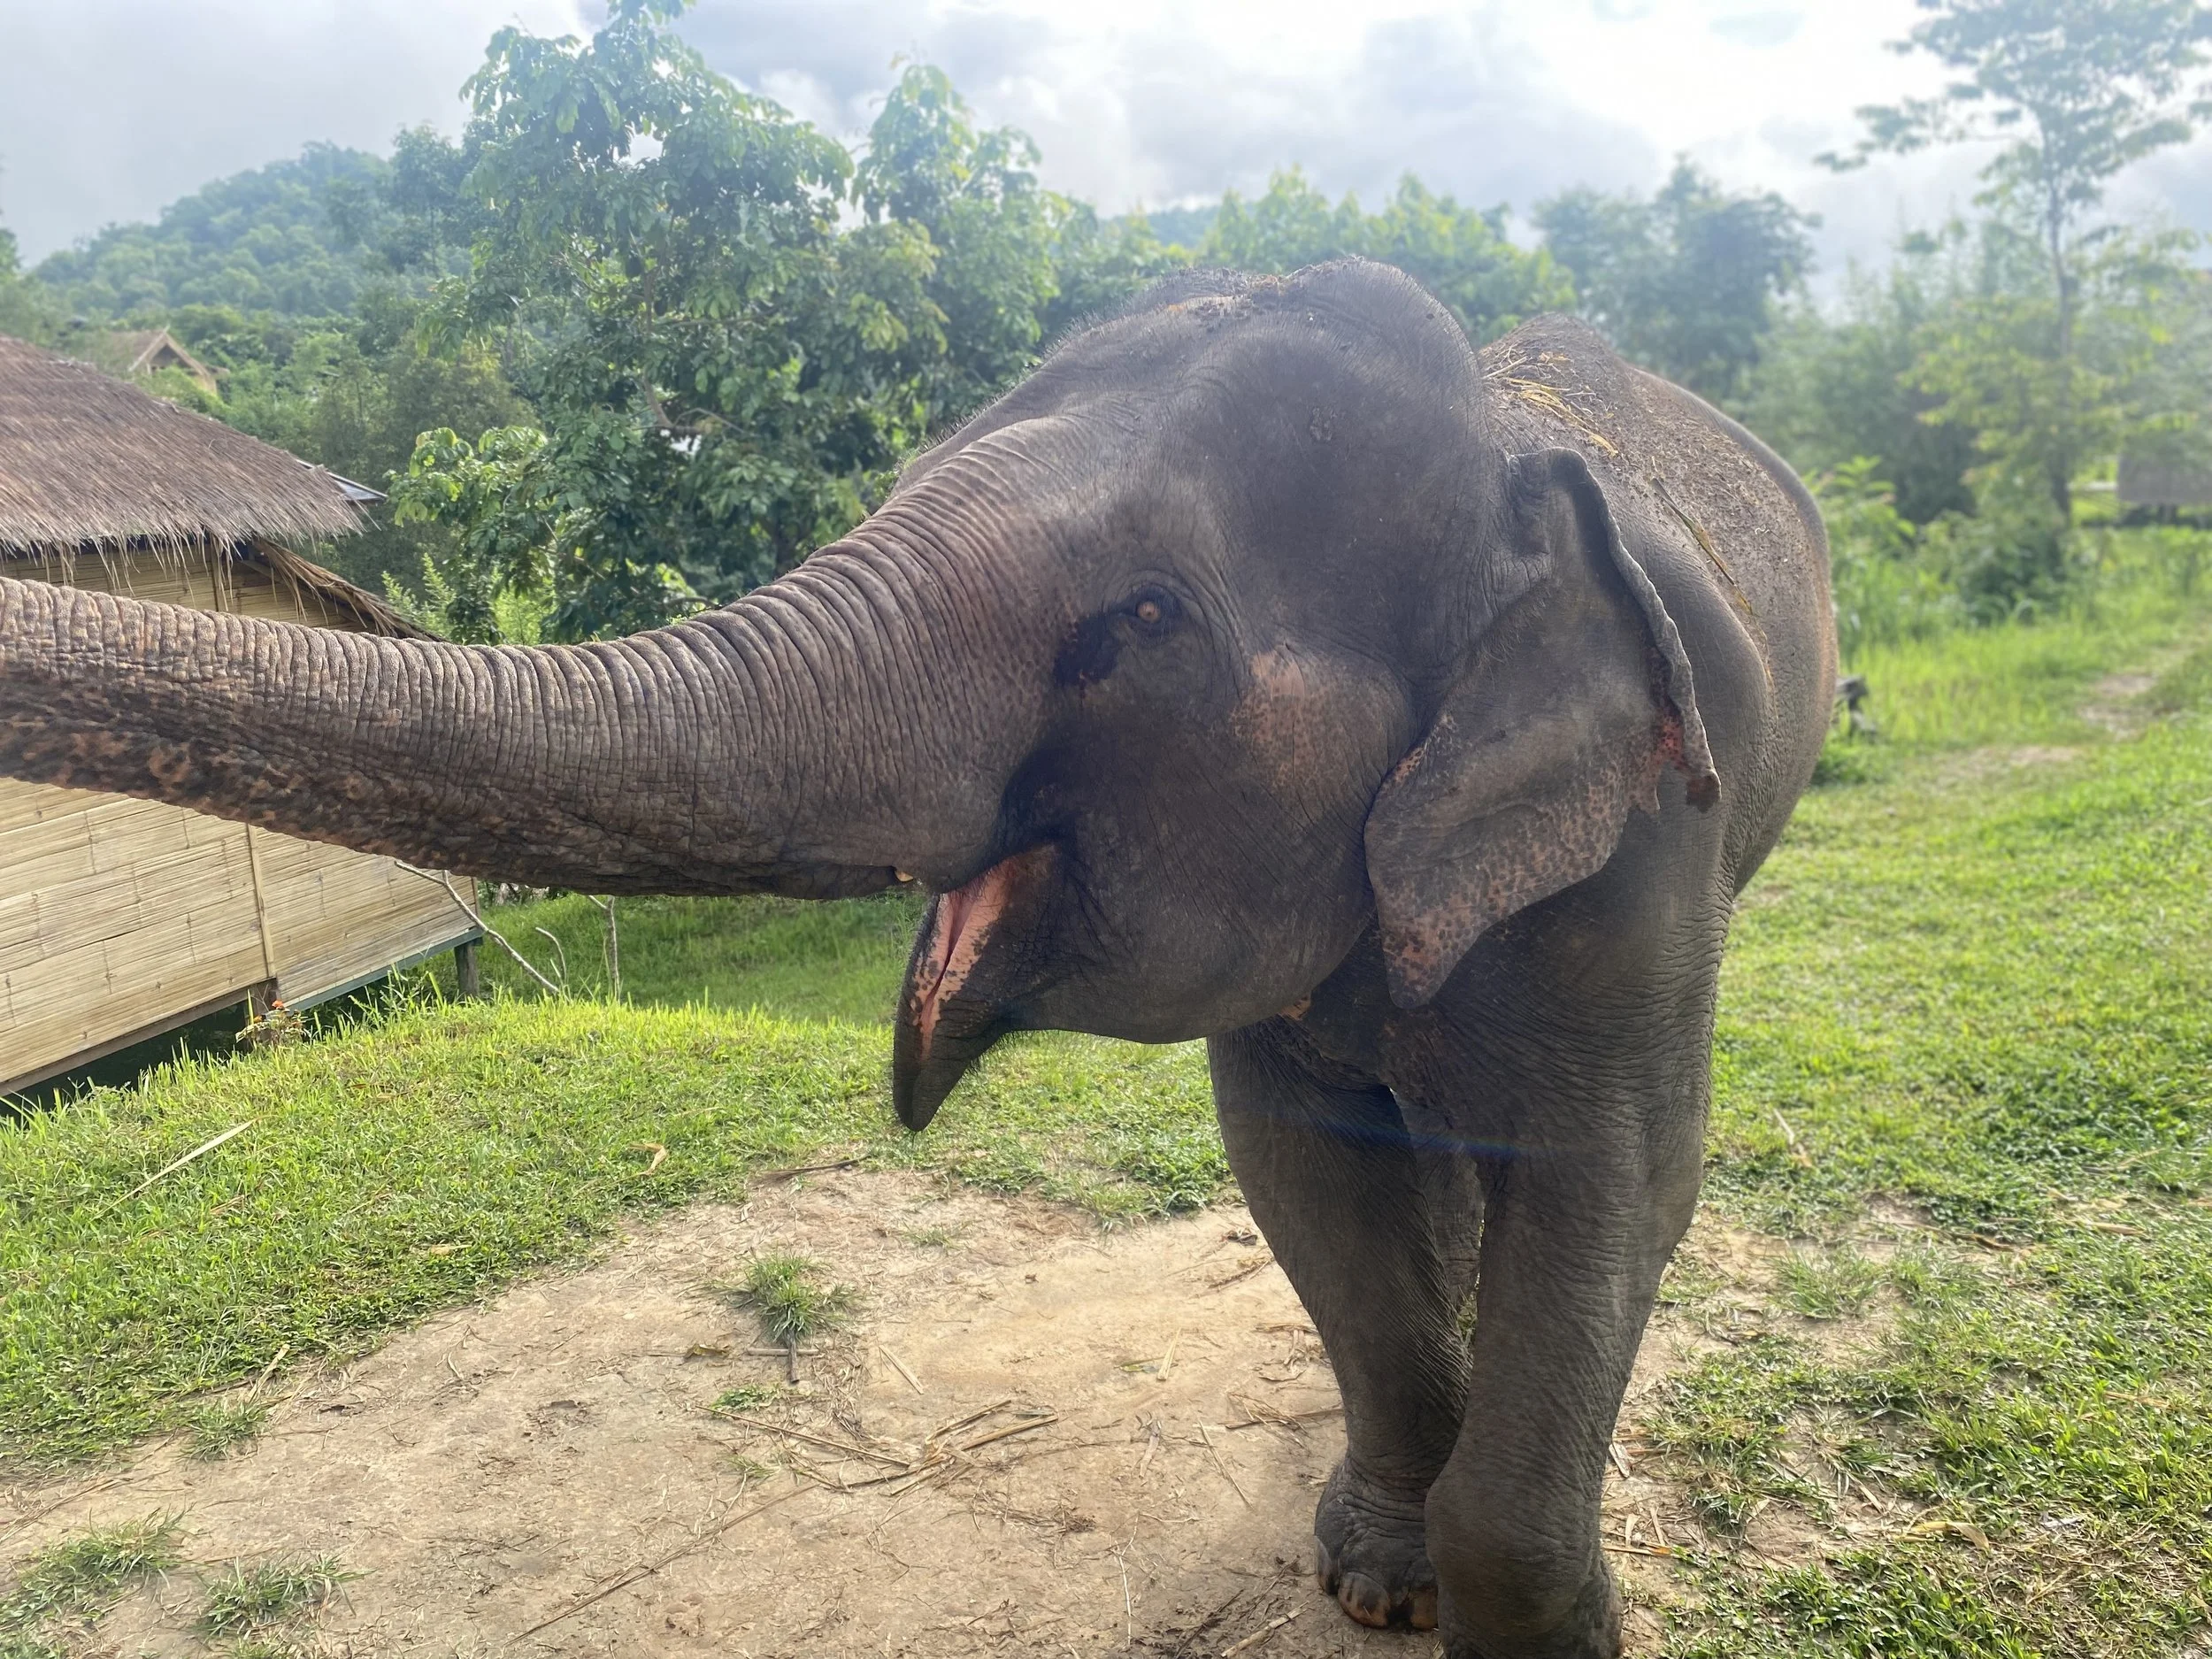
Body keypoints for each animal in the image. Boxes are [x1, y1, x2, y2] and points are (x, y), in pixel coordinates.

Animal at [0, 259, 1833, 1658]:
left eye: (1145, 619)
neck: (1509, 473)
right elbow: (1306, 1178)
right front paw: (1377, 1578)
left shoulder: (1646, 850)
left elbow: (1620, 1183)